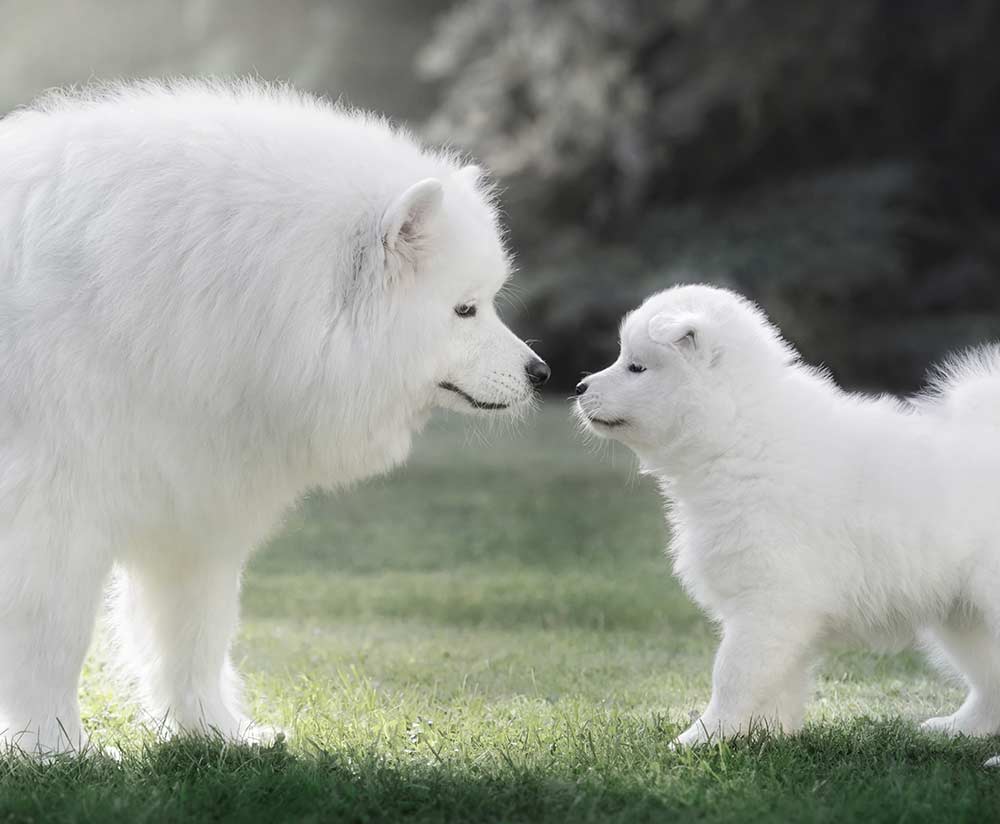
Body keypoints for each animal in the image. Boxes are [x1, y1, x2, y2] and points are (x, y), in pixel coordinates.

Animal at [0, 80, 548, 756]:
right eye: (464, 310)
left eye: (487, 303)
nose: (541, 373)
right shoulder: (52, 516)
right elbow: (52, 639)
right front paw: (55, 750)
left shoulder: (191, 507)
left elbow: (195, 639)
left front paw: (217, 734)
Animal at [576, 284, 1000, 768]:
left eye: (636, 366)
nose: (579, 387)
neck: (738, 433)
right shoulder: (778, 612)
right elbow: (778, 679)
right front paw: (766, 737)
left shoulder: (769, 601)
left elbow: (733, 675)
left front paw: (700, 739)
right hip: (963, 614)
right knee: (988, 679)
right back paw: (959, 728)